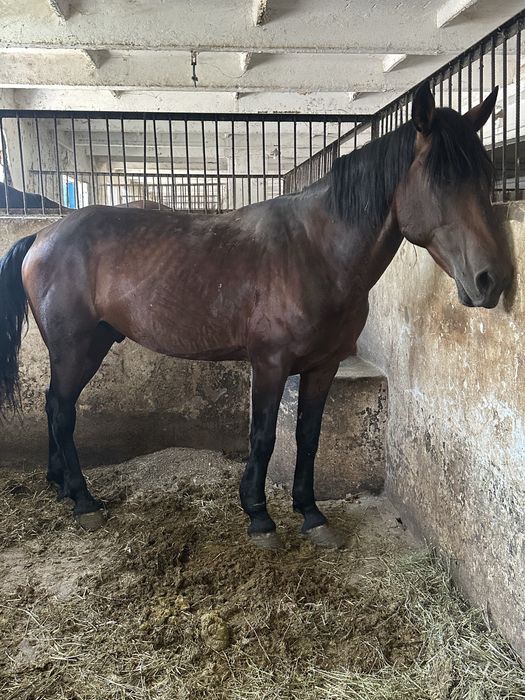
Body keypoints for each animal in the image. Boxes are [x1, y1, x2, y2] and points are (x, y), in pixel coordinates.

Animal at [0, 82, 513, 548]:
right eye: (441, 179)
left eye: (488, 173)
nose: (493, 279)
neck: (315, 252)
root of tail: (42, 236)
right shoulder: (269, 364)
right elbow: (263, 436)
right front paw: (259, 517)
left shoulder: (323, 367)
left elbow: (308, 436)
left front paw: (311, 514)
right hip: (76, 349)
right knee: (61, 409)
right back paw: (84, 500)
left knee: (53, 405)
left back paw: (61, 486)